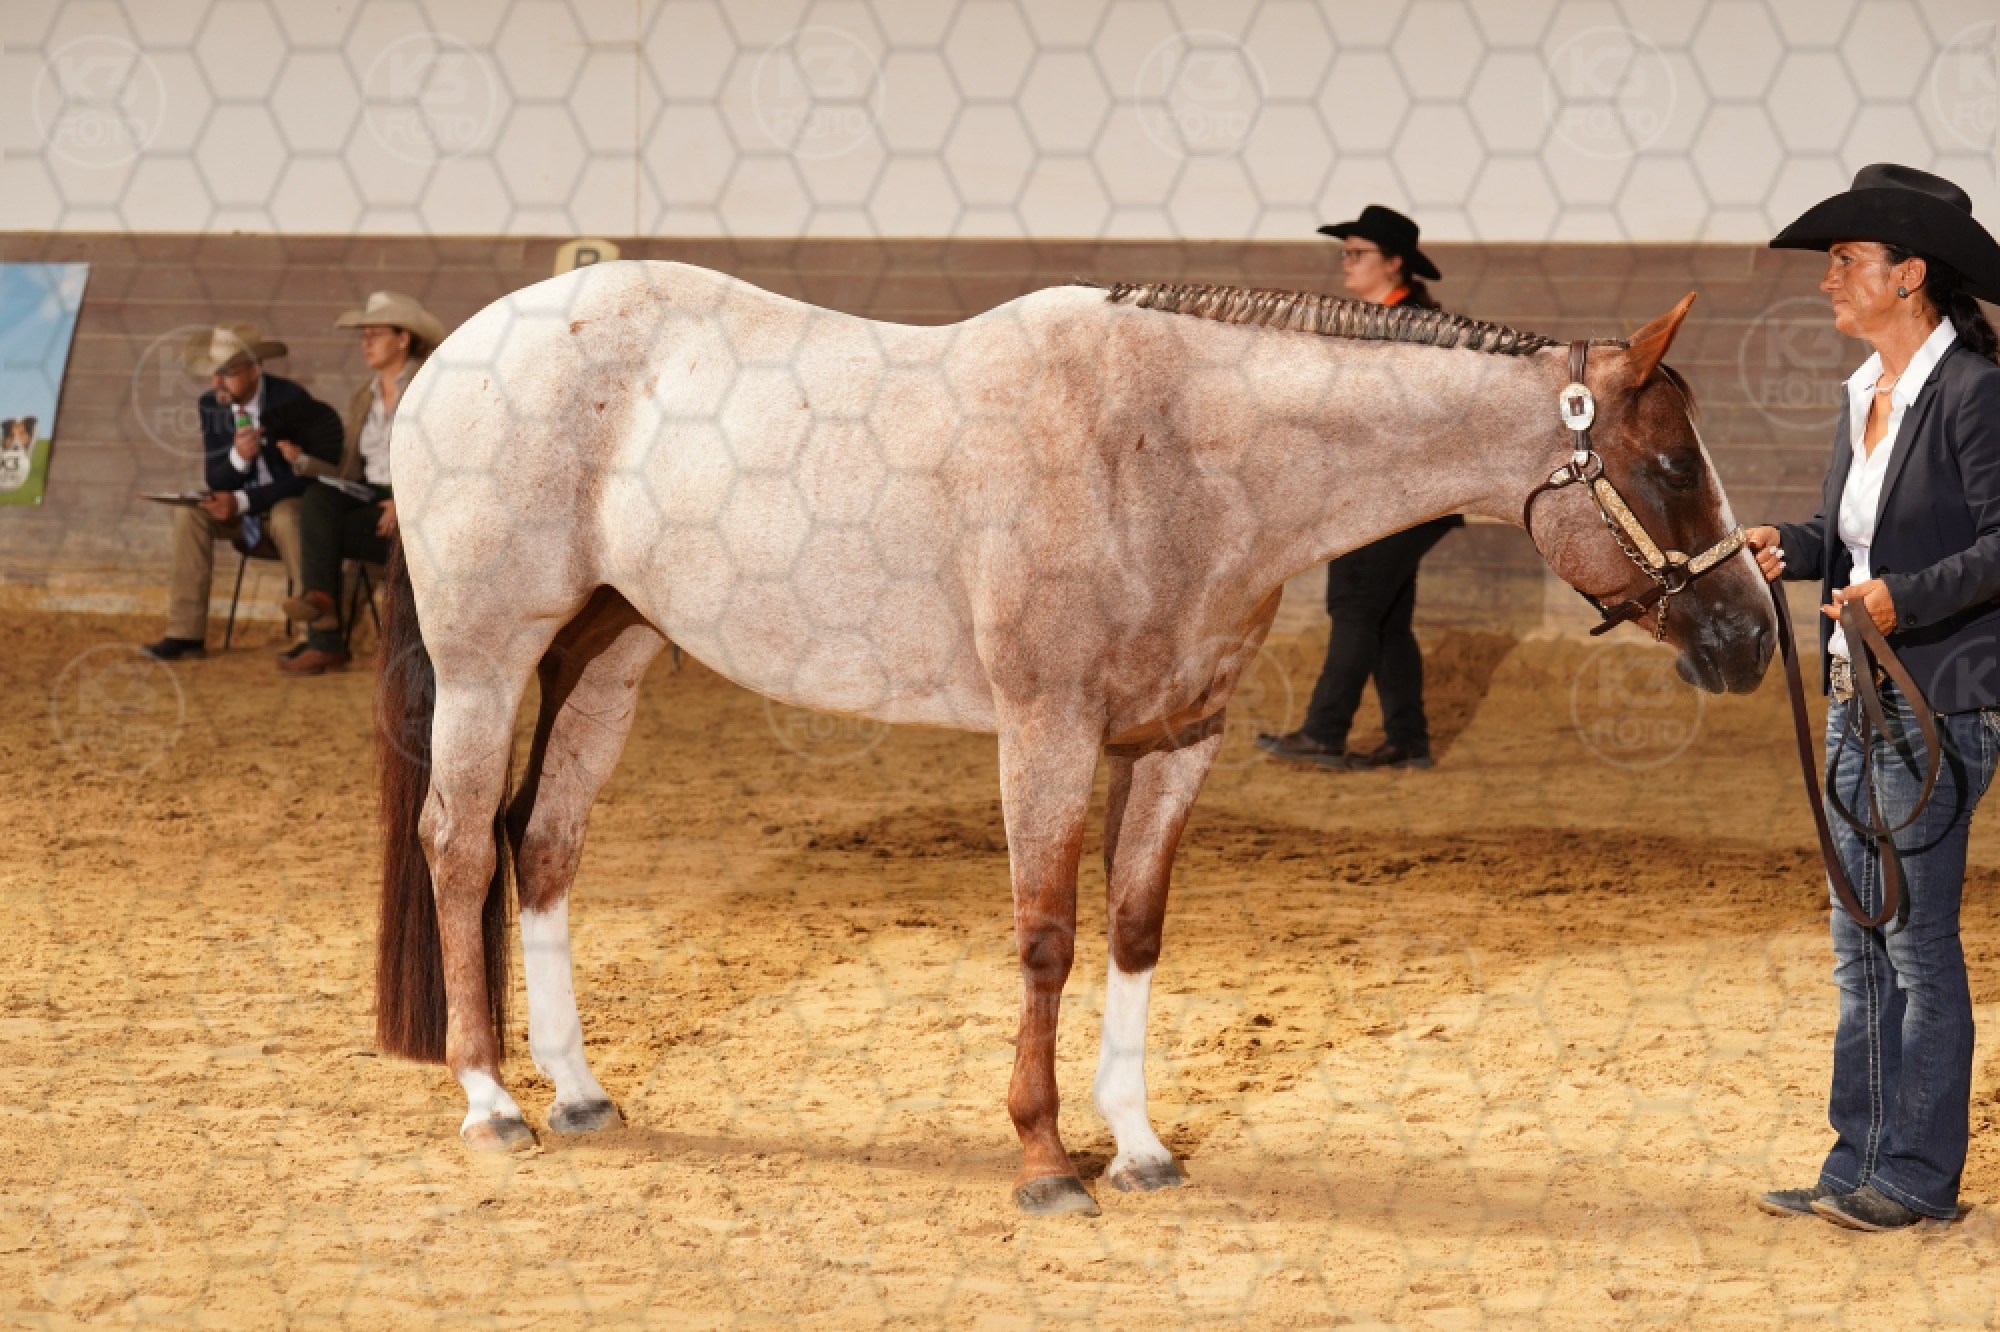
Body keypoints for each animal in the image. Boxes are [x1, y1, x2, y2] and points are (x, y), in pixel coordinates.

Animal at [374, 262, 1776, 1216]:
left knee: (544, 845)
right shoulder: (1044, 727)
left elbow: (1133, 929)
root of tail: (458, 355)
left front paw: (1141, 1147)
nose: (1751, 635)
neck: (1175, 452)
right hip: (488, 659)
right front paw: (1046, 1159)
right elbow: (1045, 934)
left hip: (609, 657)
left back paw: (577, 1092)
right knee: (460, 843)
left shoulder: (1177, 740)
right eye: (1667, 468)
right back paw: (490, 1103)